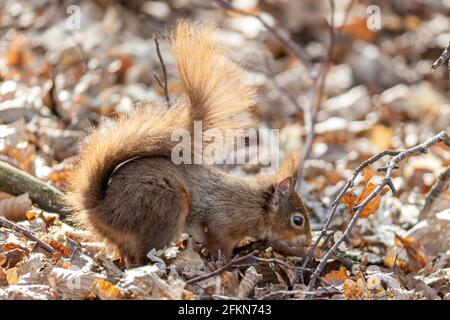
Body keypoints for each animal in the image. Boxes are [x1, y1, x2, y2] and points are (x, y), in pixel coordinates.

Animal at [67, 22, 312, 266]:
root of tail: (103, 209)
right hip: (166, 209)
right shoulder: (223, 222)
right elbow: (219, 244)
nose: (309, 242)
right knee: (142, 256)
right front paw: (228, 263)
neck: (258, 206)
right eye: (298, 220)